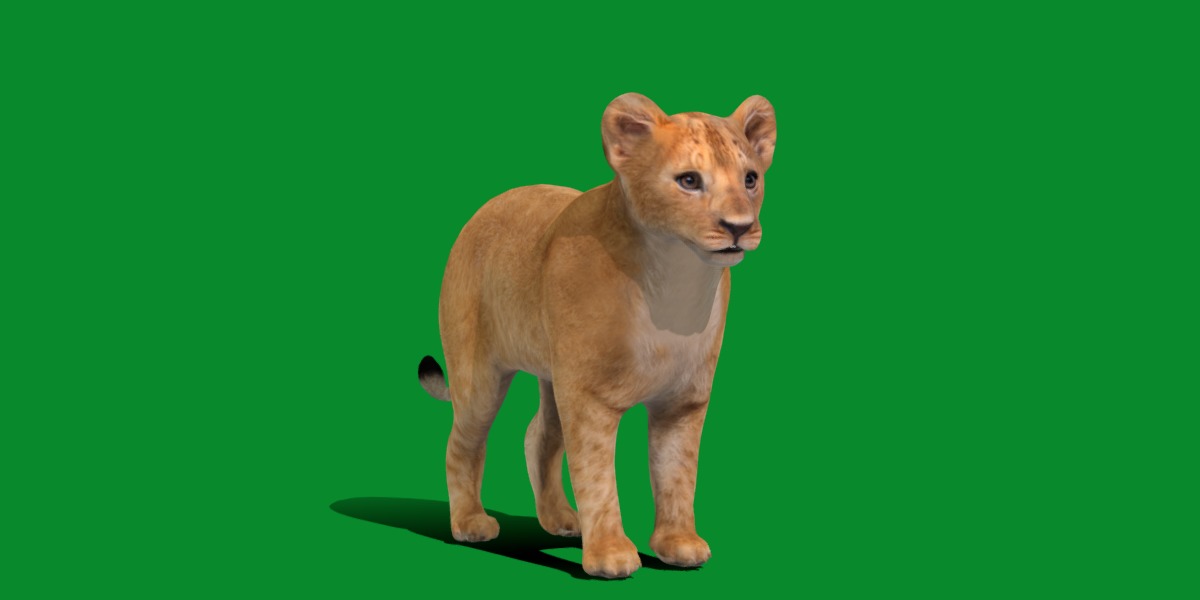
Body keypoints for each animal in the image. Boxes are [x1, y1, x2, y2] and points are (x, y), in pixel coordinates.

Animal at [417, 93, 777, 578]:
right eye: (689, 181)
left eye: (750, 179)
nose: (738, 227)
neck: (677, 281)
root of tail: (485, 208)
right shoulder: (589, 399)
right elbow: (597, 477)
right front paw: (609, 555)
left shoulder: (683, 400)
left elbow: (677, 474)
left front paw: (678, 544)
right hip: (481, 376)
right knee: (463, 441)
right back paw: (471, 522)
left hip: (553, 376)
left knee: (539, 436)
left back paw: (560, 519)